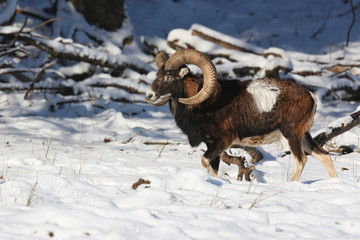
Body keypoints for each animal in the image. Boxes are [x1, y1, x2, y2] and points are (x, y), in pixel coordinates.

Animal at [146, 48, 338, 180]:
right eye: (157, 75)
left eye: (169, 77)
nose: (149, 96)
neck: (204, 105)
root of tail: (310, 96)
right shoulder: (211, 144)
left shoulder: (224, 140)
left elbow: (205, 162)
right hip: (303, 136)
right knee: (324, 155)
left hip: (291, 135)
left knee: (301, 160)